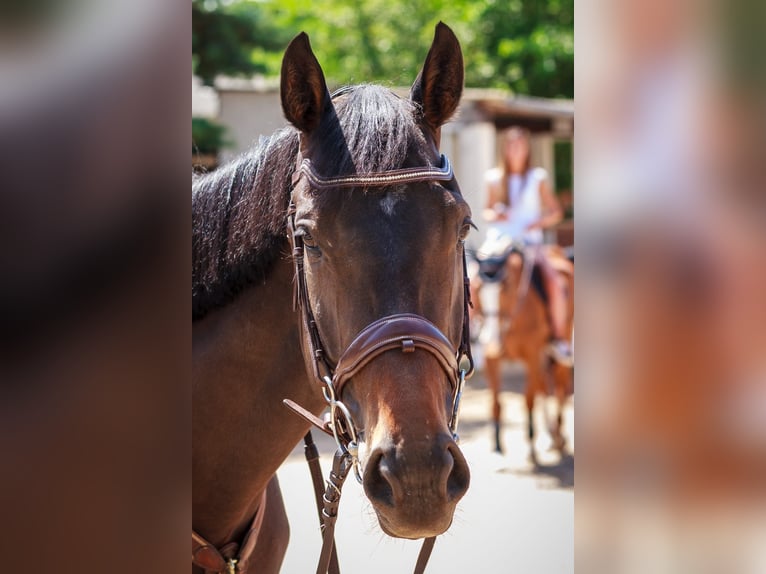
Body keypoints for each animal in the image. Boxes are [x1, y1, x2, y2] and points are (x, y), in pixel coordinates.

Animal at [474, 244, 576, 460]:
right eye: (478, 289)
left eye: (505, 288)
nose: (490, 339)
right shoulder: (490, 358)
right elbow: (495, 401)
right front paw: (497, 445)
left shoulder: (532, 355)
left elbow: (529, 398)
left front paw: (530, 443)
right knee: (545, 385)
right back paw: (553, 435)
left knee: (560, 387)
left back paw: (559, 435)